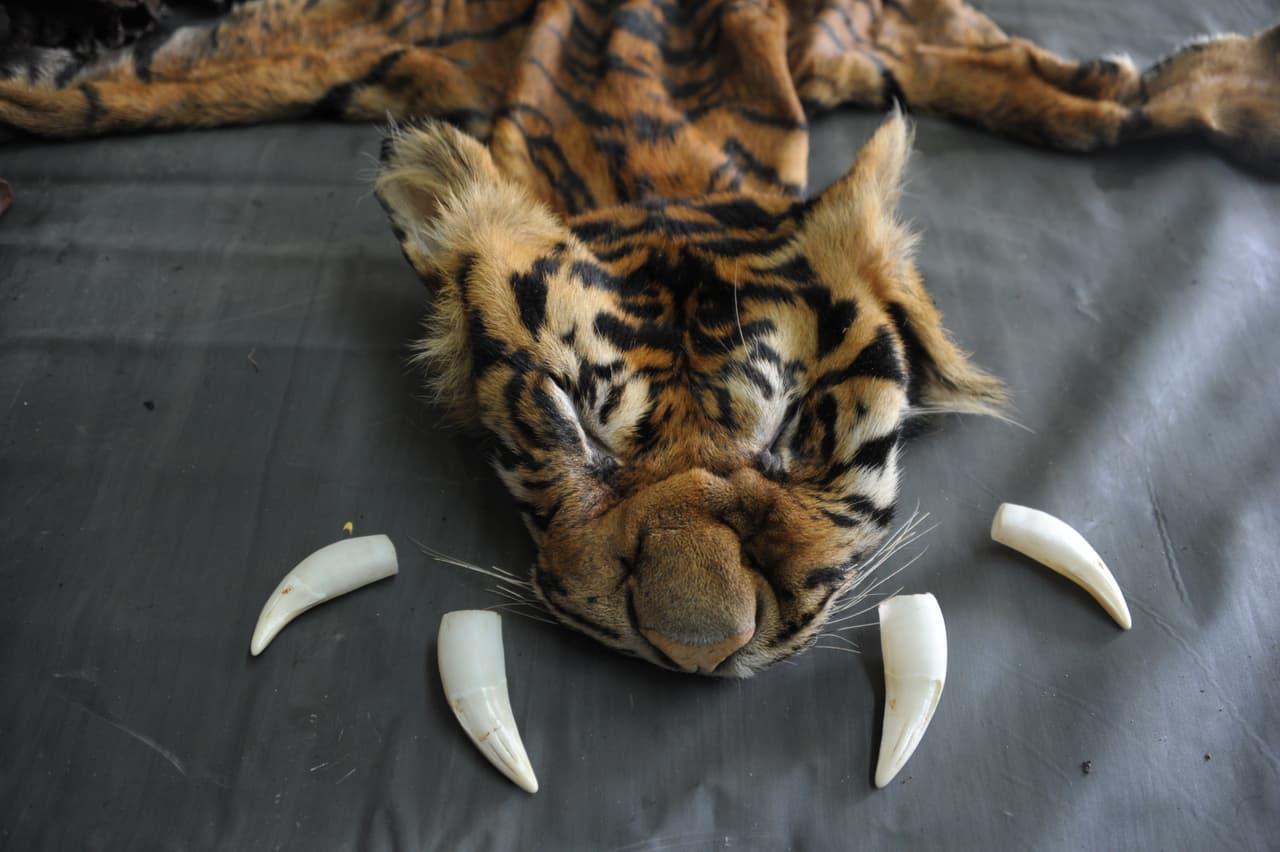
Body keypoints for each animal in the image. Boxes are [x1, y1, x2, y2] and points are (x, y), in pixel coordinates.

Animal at [2, 0, 1276, 676]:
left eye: (795, 433)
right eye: (571, 424)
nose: (699, 651)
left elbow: (1057, 92)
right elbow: (155, 83)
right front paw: (49, 77)